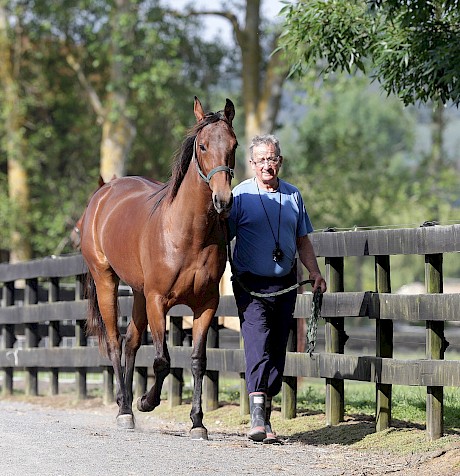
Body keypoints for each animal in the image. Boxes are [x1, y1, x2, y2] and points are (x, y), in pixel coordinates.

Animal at [80, 96, 237, 438]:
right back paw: (125, 410)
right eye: (202, 146)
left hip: (138, 292)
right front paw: (146, 402)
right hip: (107, 281)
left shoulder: (206, 305)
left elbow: (198, 360)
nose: (223, 200)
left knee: (130, 342)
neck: (187, 233)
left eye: (233, 144)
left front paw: (197, 422)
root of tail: (103, 193)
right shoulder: (157, 301)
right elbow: (162, 360)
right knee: (115, 342)